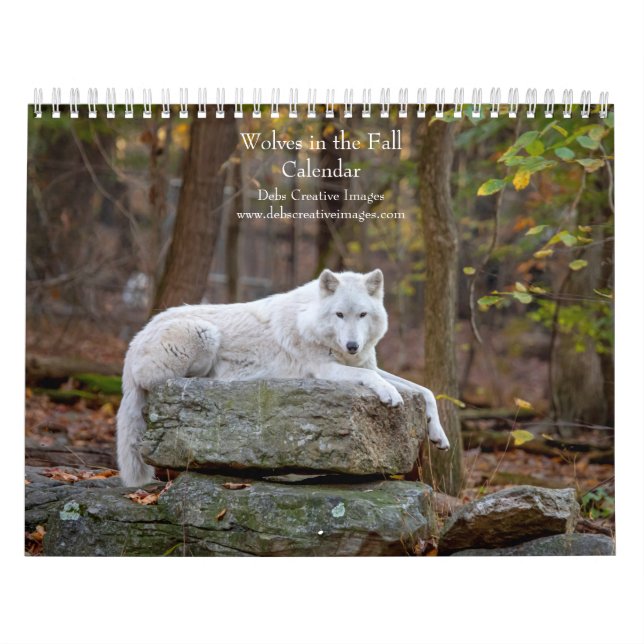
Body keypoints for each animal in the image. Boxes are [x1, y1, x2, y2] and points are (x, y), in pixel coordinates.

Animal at [117, 269, 450, 486]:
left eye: (362, 315)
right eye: (339, 315)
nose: (352, 346)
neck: (311, 319)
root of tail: (135, 340)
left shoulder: (369, 364)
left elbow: (425, 391)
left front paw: (438, 435)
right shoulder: (326, 369)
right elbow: (375, 379)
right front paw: (390, 395)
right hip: (204, 334)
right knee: (169, 384)